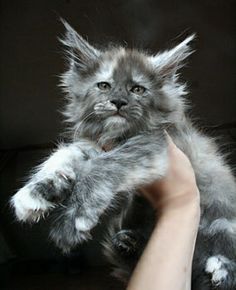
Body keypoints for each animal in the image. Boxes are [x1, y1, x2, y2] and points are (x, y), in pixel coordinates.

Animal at [11, 21, 236, 290]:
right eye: (104, 86)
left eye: (137, 89)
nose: (118, 101)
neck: (117, 136)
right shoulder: (93, 145)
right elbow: (63, 155)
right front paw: (37, 191)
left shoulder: (152, 146)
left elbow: (102, 169)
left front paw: (72, 221)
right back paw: (127, 242)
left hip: (223, 220)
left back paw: (221, 270)